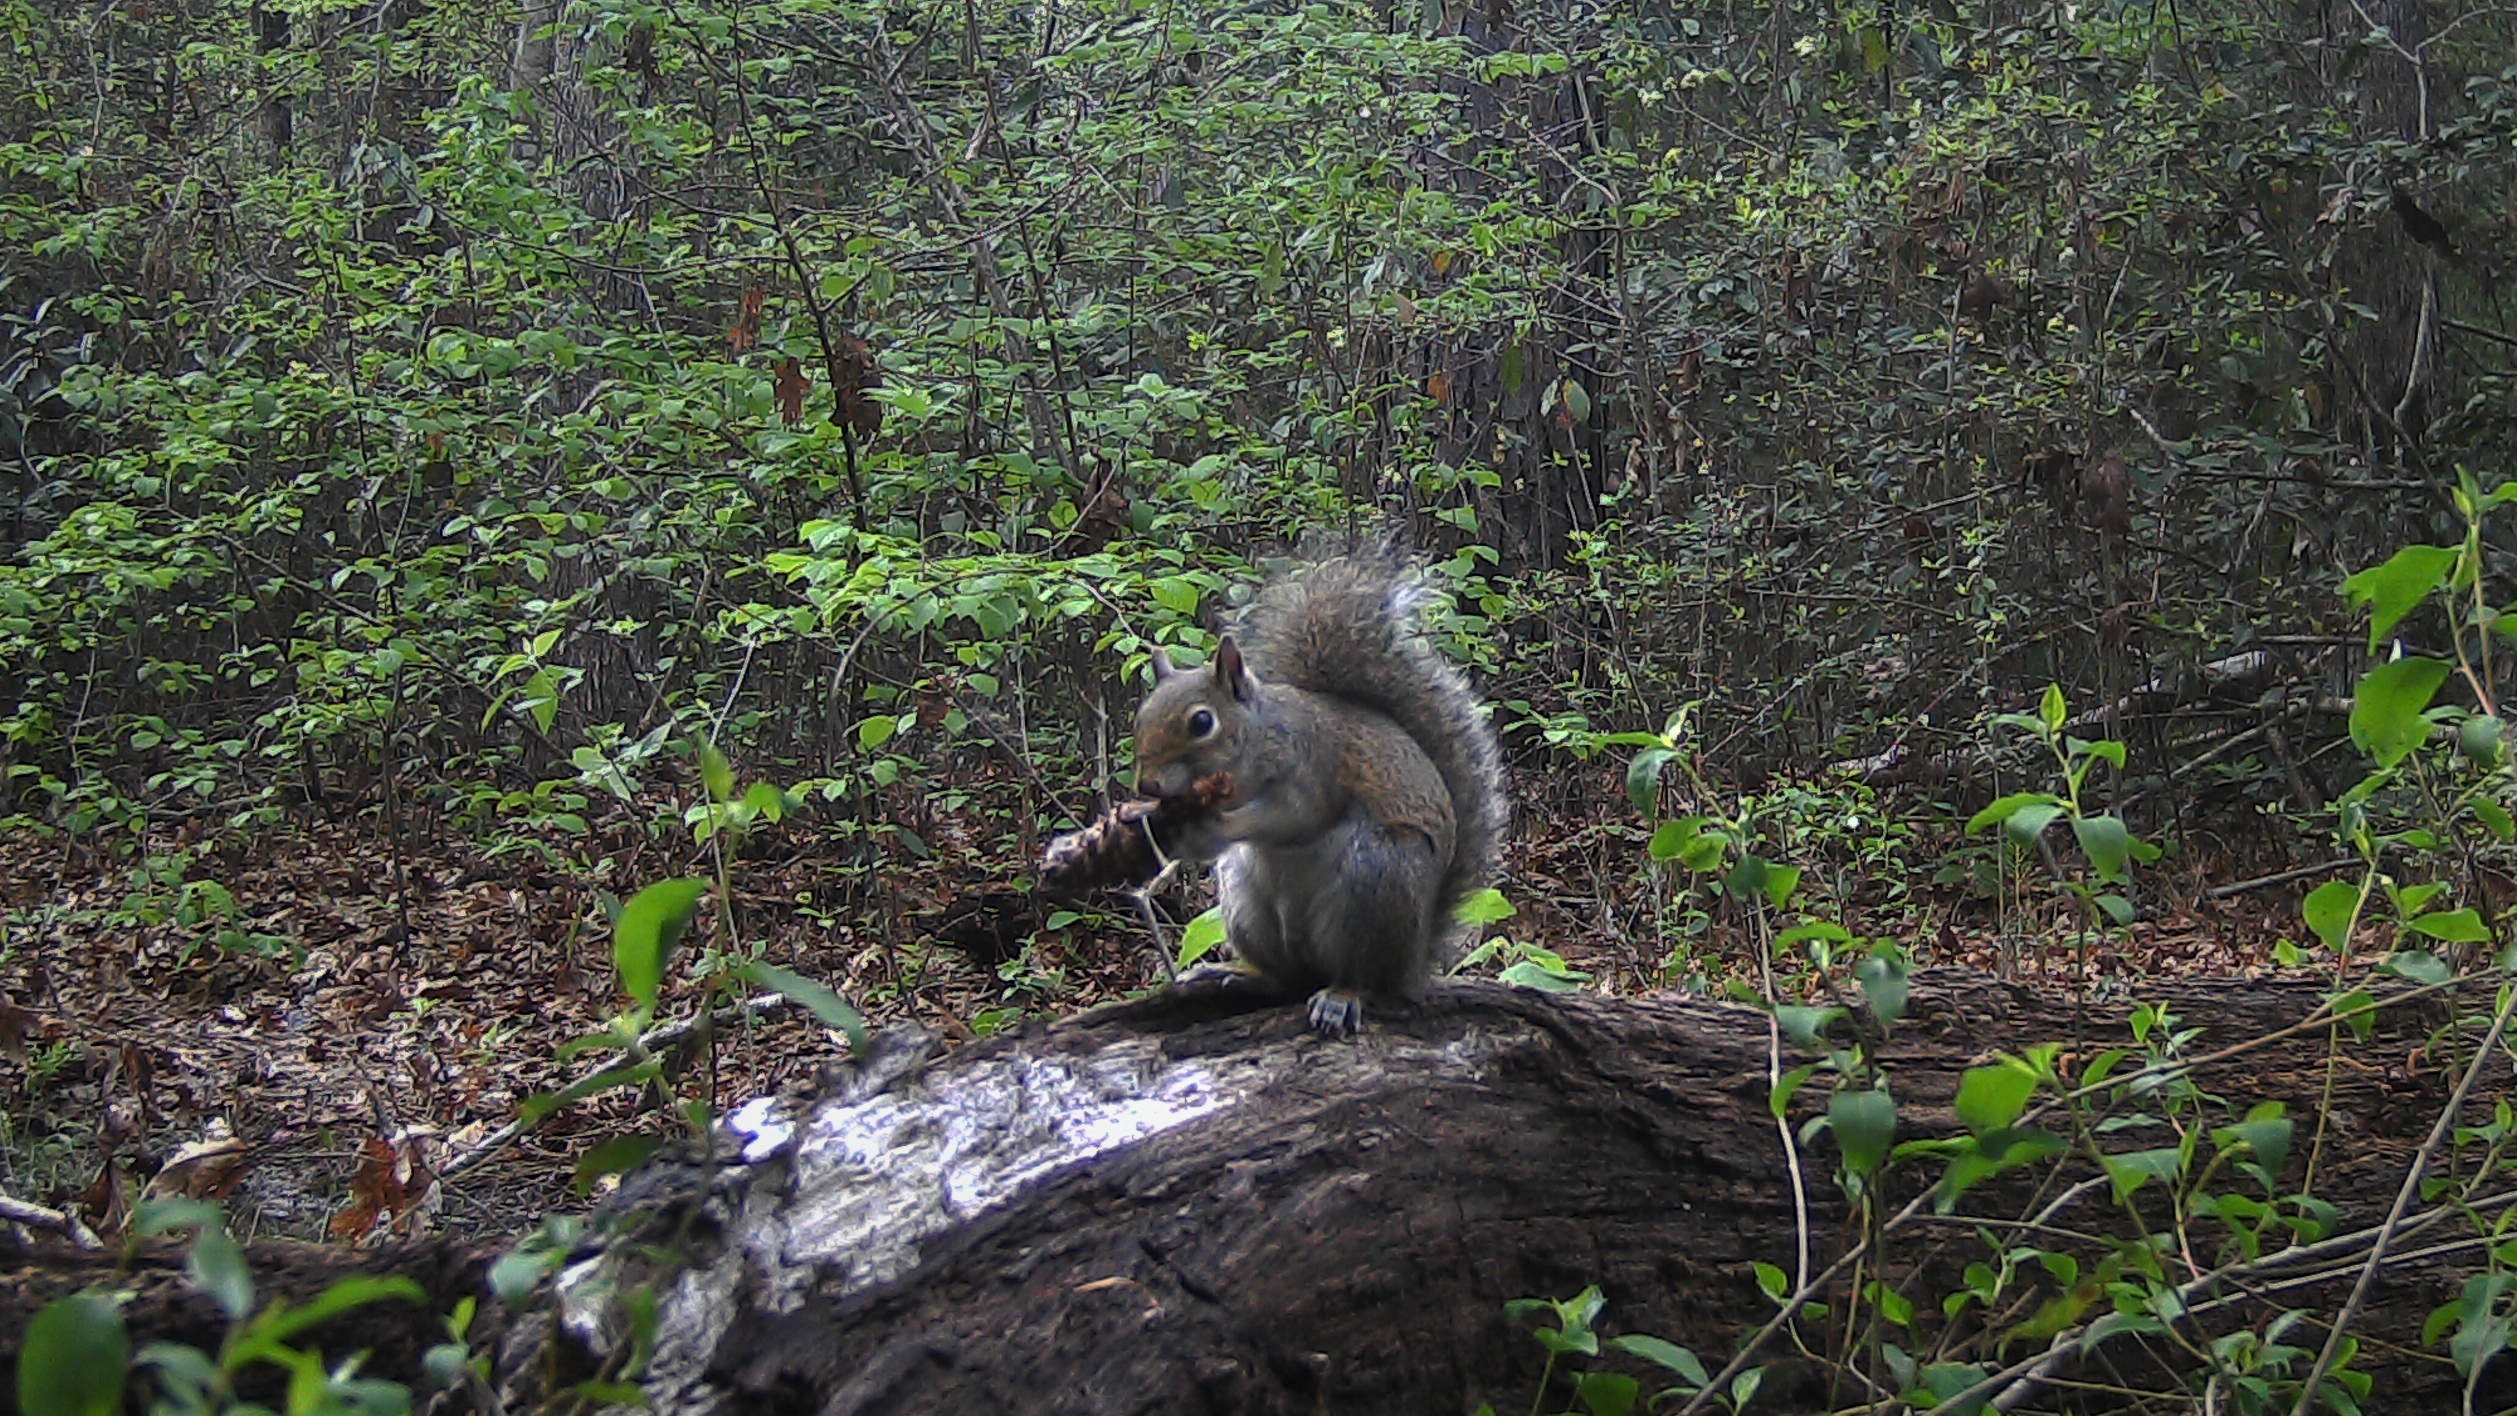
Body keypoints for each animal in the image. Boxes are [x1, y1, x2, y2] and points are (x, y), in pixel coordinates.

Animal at [1132, 548, 1500, 1036]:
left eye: (1201, 722)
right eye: (1141, 715)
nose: (1147, 784)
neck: (1259, 743)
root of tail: (1412, 964)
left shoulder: (1314, 772)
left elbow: (1291, 816)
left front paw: (1213, 827)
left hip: (1377, 882)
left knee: (1359, 977)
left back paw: (1340, 997)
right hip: (1246, 903)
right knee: (1285, 979)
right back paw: (1235, 972)